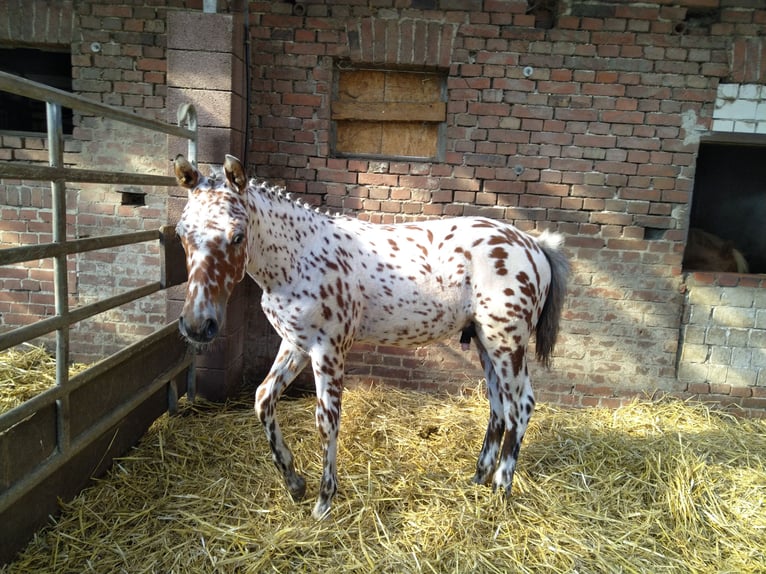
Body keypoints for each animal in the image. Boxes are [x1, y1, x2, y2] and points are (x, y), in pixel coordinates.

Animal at [174, 155, 568, 520]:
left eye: (237, 235)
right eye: (180, 233)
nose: (197, 325)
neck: (299, 258)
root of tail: (534, 245)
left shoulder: (328, 350)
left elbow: (327, 420)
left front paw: (323, 503)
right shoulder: (295, 344)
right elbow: (263, 399)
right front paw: (295, 484)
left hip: (506, 342)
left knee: (520, 405)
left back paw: (501, 492)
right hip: (486, 343)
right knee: (498, 406)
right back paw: (478, 479)